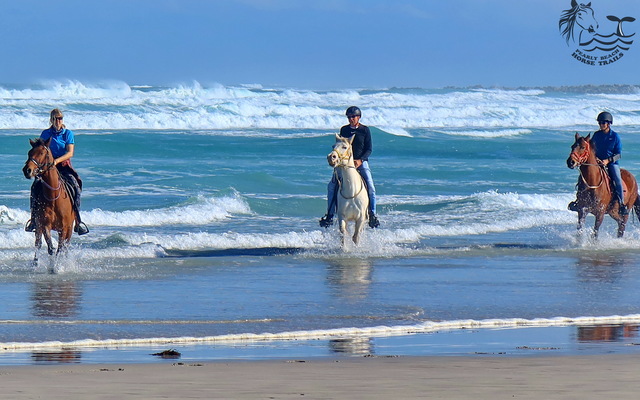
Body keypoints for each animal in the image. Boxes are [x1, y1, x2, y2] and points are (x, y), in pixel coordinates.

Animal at [22, 138, 75, 266]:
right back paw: (35, 264)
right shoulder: (45, 224)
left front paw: (57, 266)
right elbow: (51, 248)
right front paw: (52, 266)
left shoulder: (64, 228)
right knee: (38, 243)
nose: (27, 170)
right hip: (38, 225)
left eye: (42, 153)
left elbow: (60, 249)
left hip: (70, 229)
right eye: (29, 153)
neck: (54, 197)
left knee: (66, 246)